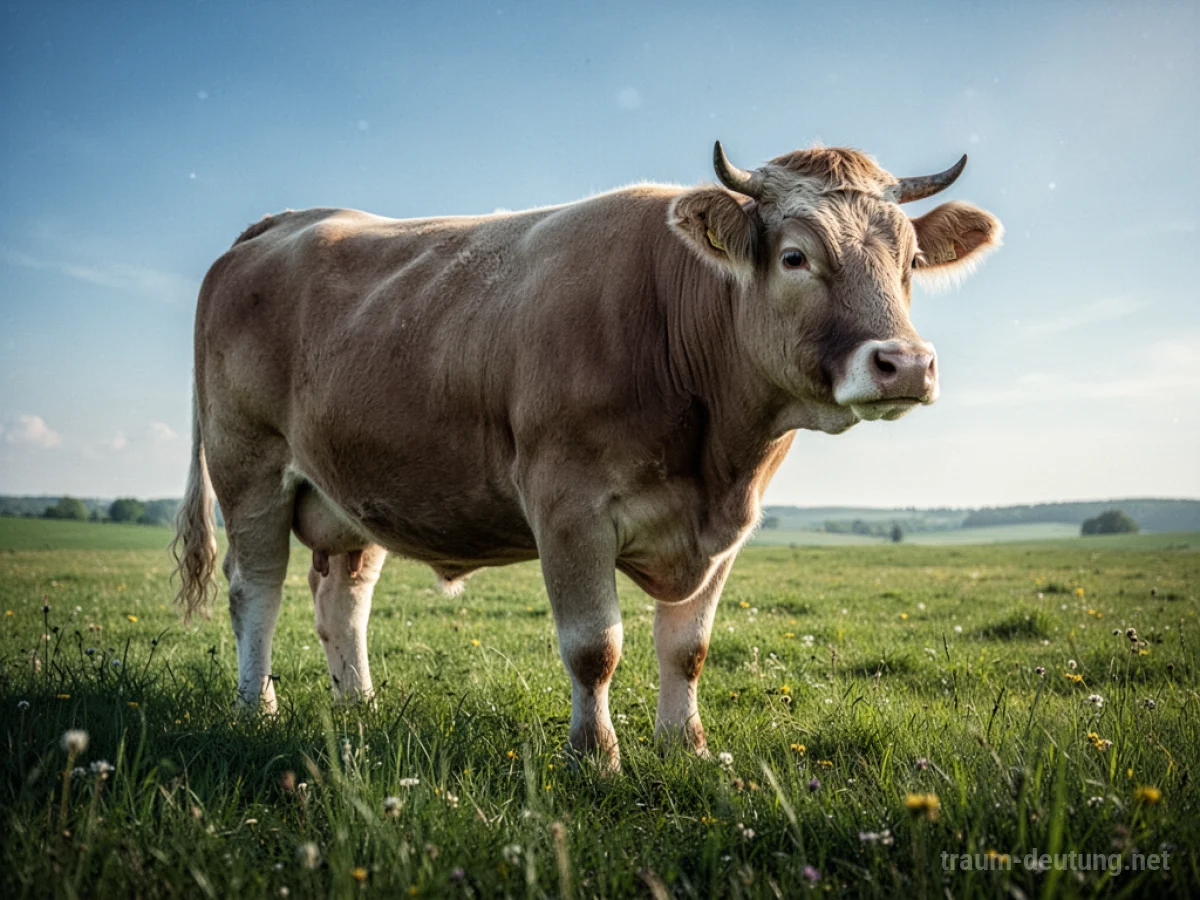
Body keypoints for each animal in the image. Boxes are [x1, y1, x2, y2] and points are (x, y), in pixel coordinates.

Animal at [173, 141, 1001, 770]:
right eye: (796, 256)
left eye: (910, 261)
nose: (905, 364)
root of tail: (287, 221)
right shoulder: (569, 509)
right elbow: (593, 647)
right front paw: (595, 757)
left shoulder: (726, 531)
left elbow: (688, 647)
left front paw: (686, 747)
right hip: (248, 467)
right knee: (257, 590)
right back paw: (257, 709)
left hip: (352, 485)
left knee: (342, 597)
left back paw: (360, 706)